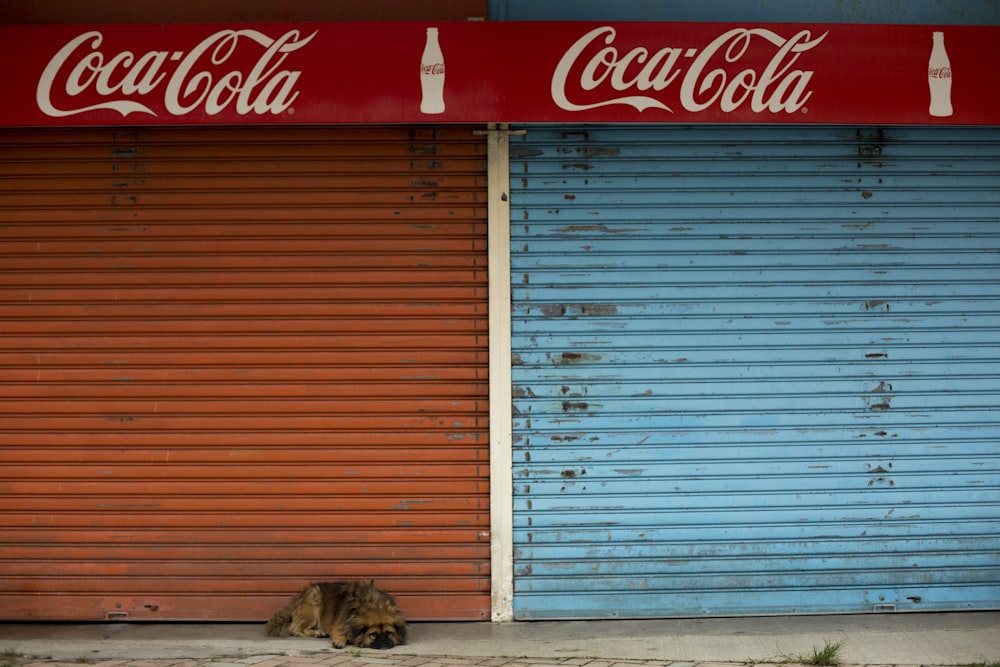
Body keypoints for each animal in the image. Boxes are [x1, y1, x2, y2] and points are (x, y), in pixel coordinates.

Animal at [266, 580, 406, 648]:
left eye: (389, 633)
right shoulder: (340, 624)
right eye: (373, 634)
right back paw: (318, 633)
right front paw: (339, 641)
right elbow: (340, 632)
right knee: (296, 628)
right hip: (313, 602)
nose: (383, 639)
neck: (373, 604)